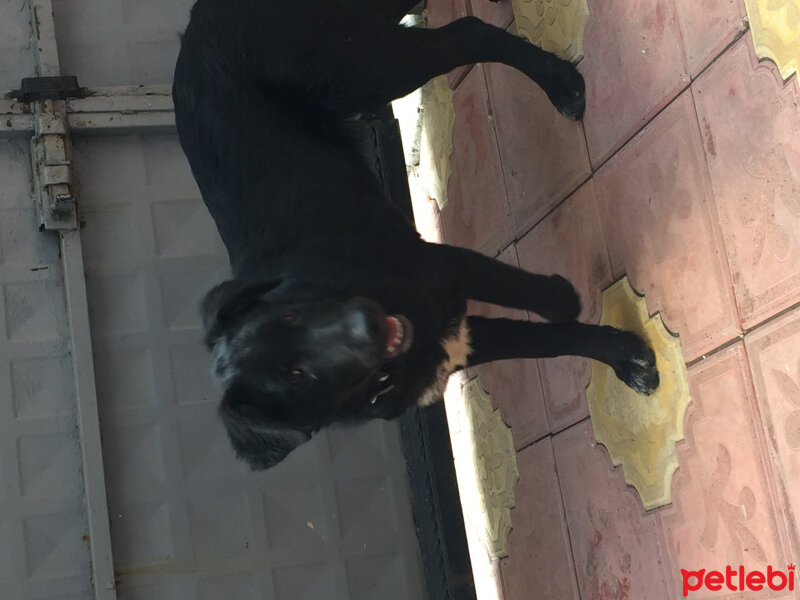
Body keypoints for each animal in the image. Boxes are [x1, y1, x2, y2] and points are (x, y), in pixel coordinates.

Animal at [172, 0, 660, 468]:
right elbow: (551, 342)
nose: (365, 320)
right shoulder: (458, 340)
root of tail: (196, 20)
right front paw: (626, 359)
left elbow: (542, 301)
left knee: (467, 34)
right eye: (296, 377)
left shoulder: (442, 264)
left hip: (365, 66)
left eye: (291, 316)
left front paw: (575, 307)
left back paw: (560, 83)